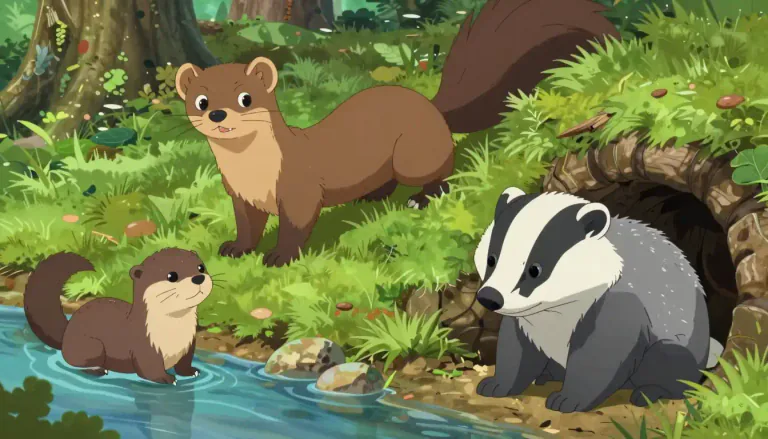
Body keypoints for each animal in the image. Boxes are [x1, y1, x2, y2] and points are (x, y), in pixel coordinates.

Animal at [23, 248, 213, 385]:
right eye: (172, 275)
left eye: (200, 267)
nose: (198, 278)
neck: (173, 334)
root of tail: (66, 333)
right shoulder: (144, 346)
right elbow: (149, 369)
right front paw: (166, 378)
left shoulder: (189, 343)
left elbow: (184, 363)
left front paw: (191, 372)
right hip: (91, 345)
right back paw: (98, 370)